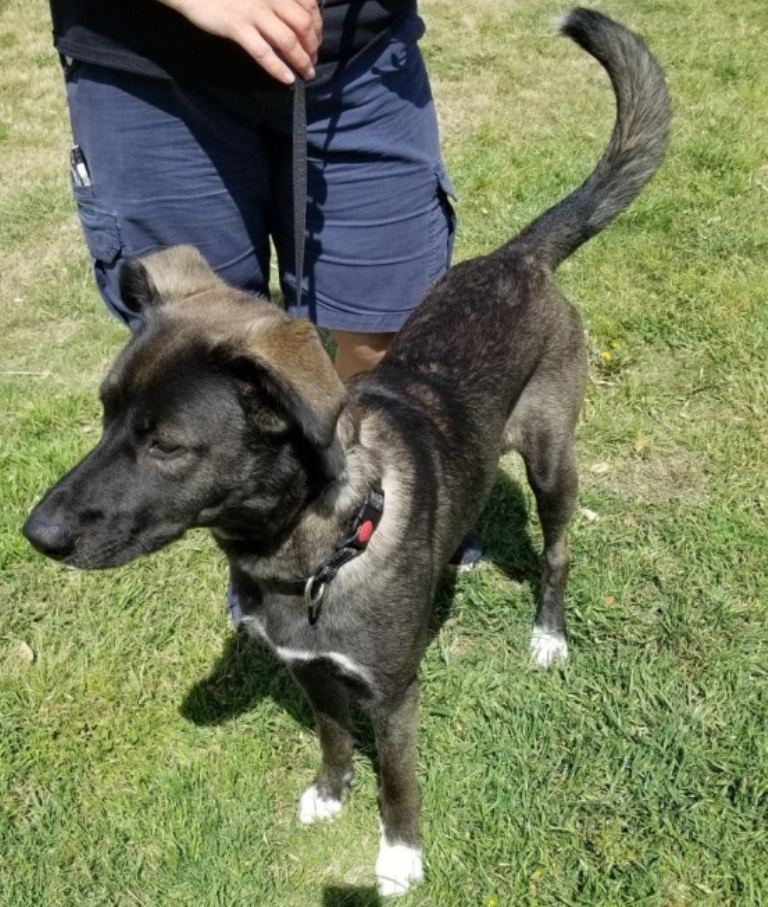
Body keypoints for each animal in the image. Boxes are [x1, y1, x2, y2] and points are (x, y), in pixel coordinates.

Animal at [24, 7, 668, 896]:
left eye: (166, 446)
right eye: (106, 415)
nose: (36, 534)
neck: (307, 551)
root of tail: (518, 257)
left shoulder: (393, 690)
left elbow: (398, 779)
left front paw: (398, 855)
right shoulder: (309, 667)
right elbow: (332, 736)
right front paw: (331, 792)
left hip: (552, 458)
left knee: (558, 549)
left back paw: (548, 634)